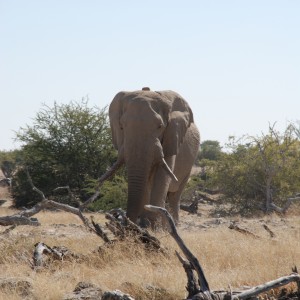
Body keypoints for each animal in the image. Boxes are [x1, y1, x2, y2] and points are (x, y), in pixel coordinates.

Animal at [109, 88, 200, 226]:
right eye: (121, 126)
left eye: (160, 126)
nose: (127, 222)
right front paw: (144, 224)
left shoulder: (171, 137)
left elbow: (162, 176)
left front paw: (152, 225)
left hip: (190, 164)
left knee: (175, 194)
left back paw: (172, 224)